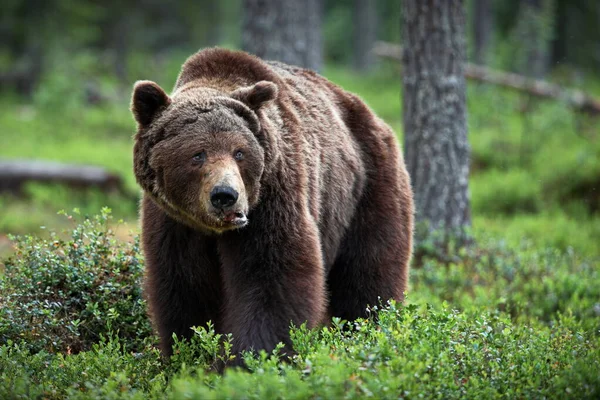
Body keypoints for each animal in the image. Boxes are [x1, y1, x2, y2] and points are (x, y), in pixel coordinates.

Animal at [131, 47, 412, 366]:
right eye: (197, 155)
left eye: (239, 152)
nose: (225, 195)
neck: (213, 230)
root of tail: (371, 114)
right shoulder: (173, 223)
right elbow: (184, 285)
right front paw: (190, 354)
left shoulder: (273, 197)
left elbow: (272, 276)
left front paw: (252, 358)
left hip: (366, 187)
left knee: (369, 273)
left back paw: (370, 332)